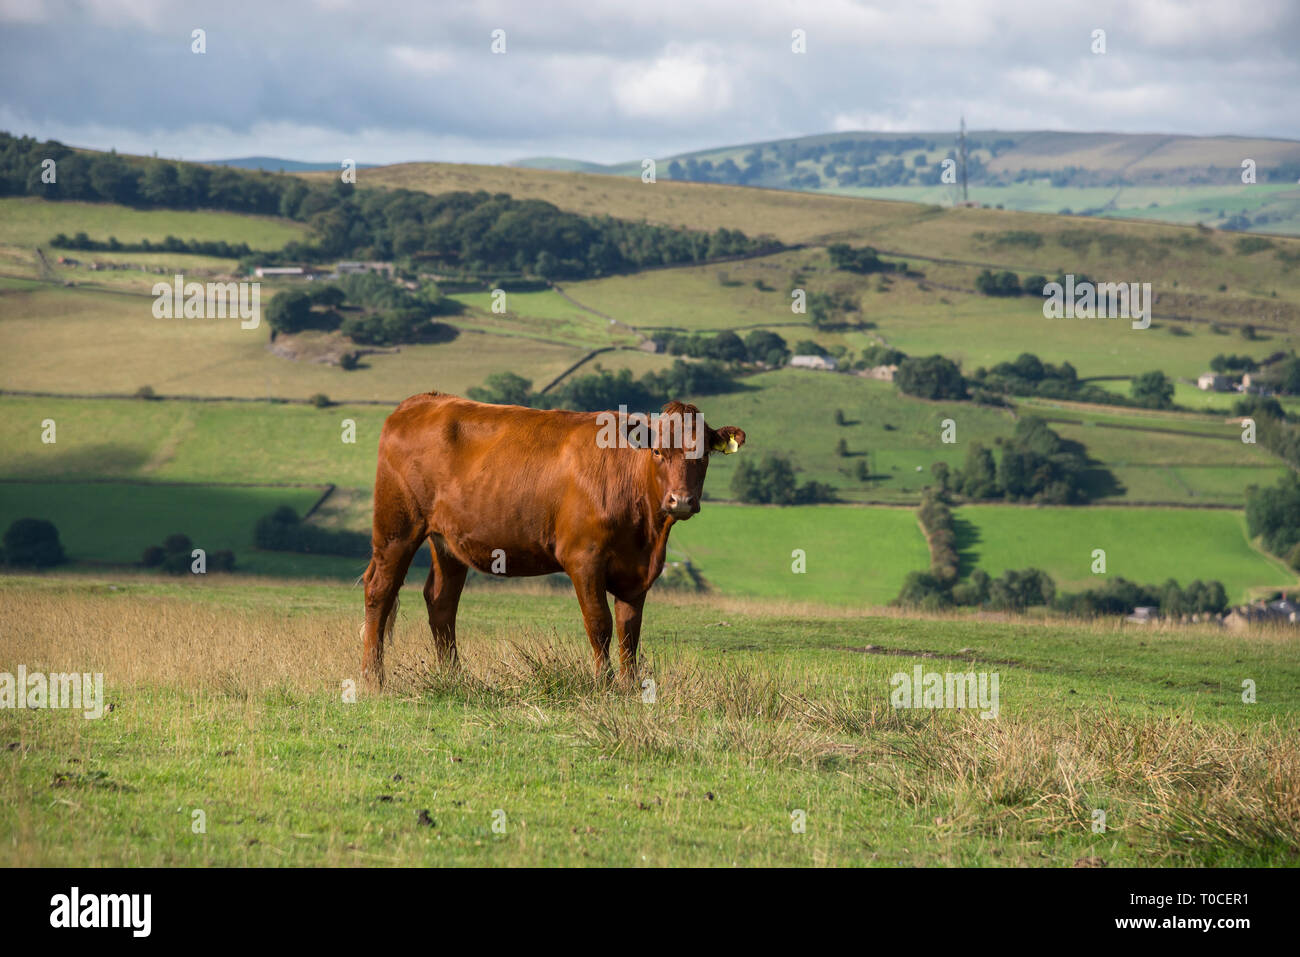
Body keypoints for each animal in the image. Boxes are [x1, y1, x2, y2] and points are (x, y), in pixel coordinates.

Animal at [360, 392, 746, 689]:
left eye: (704, 454)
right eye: (657, 453)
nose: (680, 501)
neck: (648, 533)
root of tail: (423, 400)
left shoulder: (639, 571)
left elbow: (629, 632)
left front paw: (631, 686)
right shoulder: (583, 558)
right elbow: (600, 623)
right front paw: (604, 685)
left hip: (447, 542)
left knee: (441, 602)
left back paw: (454, 678)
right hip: (397, 528)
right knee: (380, 591)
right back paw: (372, 680)